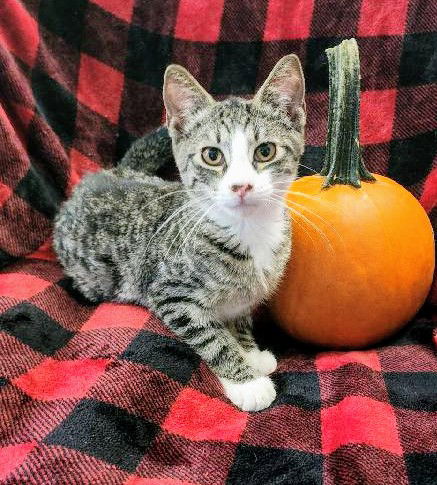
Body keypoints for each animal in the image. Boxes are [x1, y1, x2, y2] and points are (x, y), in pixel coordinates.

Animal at [52, 57, 304, 412]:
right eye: (212, 155)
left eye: (265, 151)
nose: (241, 186)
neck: (249, 232)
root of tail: (110, 172)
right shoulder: (169, 294)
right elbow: (212, 338)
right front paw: (247, 380)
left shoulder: (245, 296)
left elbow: (240, 317)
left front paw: (249, 351)